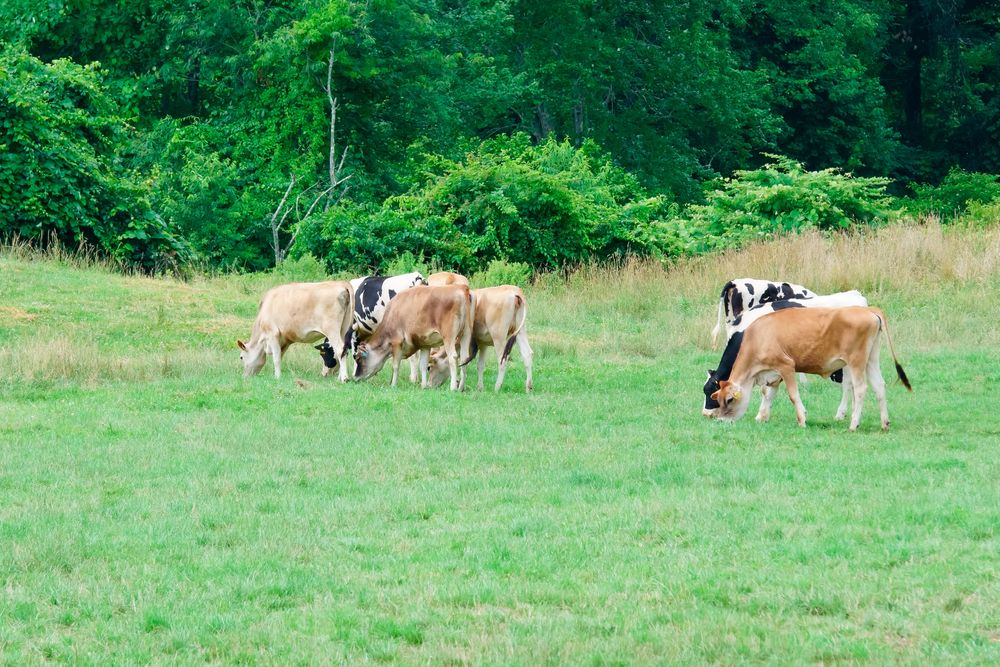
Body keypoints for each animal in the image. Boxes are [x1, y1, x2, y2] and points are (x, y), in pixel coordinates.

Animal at [703, 290, 869, 419]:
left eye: (710, 392)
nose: (705, 414)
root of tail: (856, 296)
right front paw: (763, 416)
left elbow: (766, 390)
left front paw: (761, 415)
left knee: (848, 385)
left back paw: (841, 414)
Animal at [710, 306, 911, 431]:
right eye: (717, 399)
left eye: (729, 400)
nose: (720, 420)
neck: (758, 337)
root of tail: (869, 309)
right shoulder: (773, 374)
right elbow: (768, 394)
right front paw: (762, 417)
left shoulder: (786, 365)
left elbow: (793, 395)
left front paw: (802, 419)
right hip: (871, 359)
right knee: (879, 386)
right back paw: (884, 424)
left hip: (856, 361)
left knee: (861, 389)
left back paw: (854, 425)